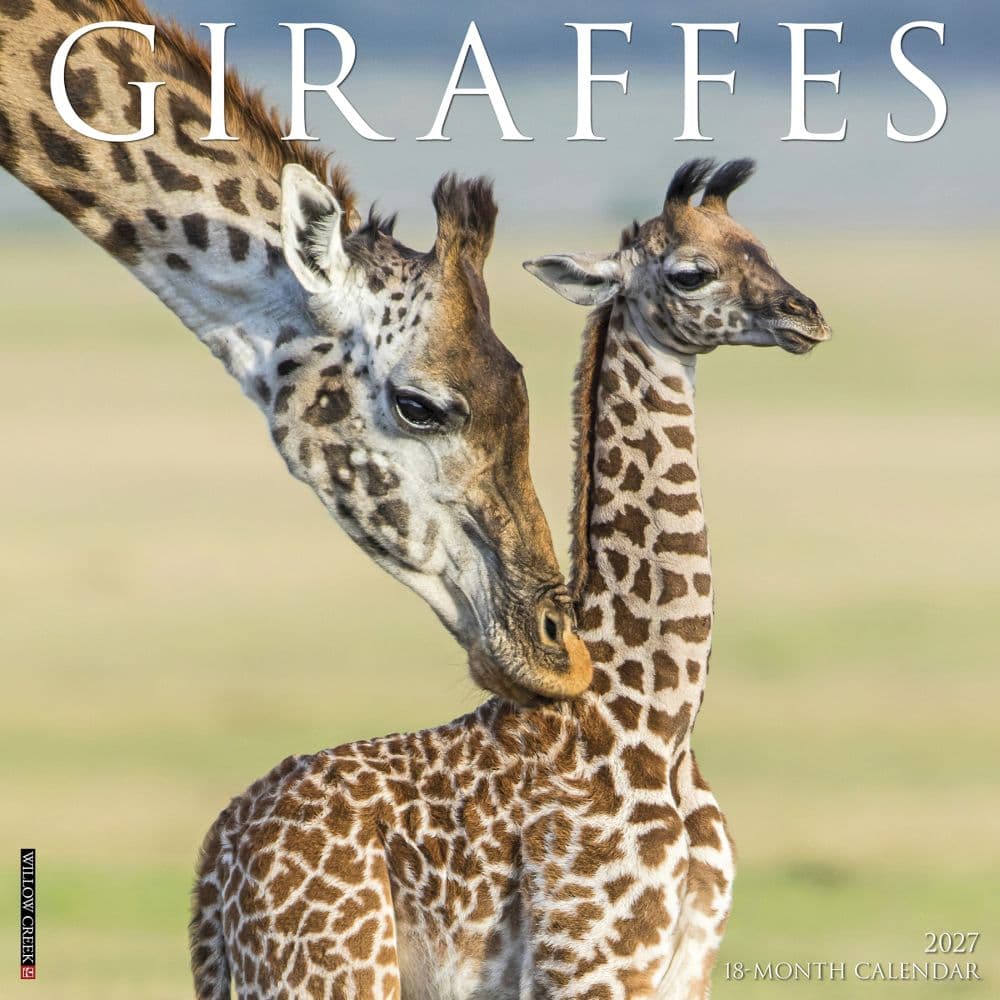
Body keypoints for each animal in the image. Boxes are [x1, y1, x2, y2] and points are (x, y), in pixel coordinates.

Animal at [189, 159, 830, 999]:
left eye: (759, 244)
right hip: (330, 970)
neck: (660, 720)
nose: (806, 316)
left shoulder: (686, 966)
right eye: (691, 272)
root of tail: (217, 855)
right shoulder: (587, 964)